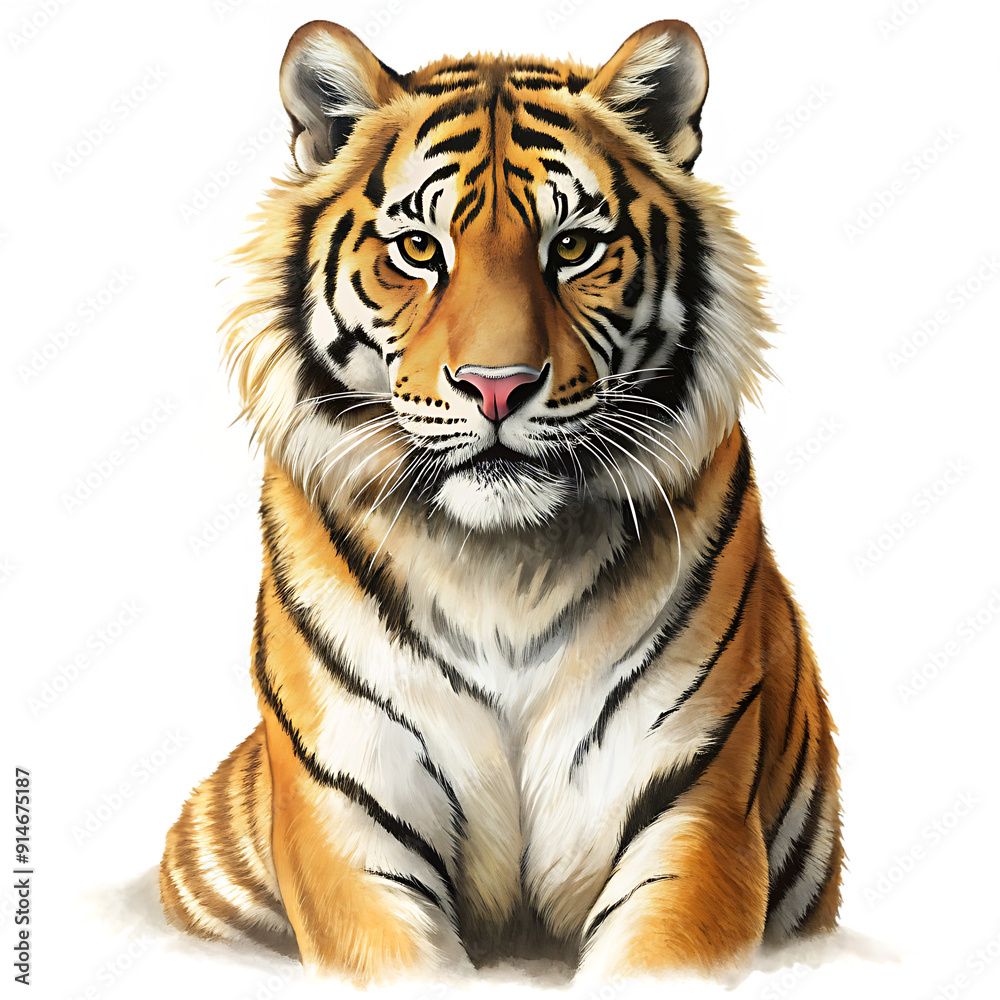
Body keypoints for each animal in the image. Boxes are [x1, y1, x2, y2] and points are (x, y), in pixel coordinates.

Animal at [159, 17, 843, 984]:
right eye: (418, 250)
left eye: (573, 248)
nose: (497, 386)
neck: (502, 567)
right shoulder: (346, 816)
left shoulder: (694, 807)